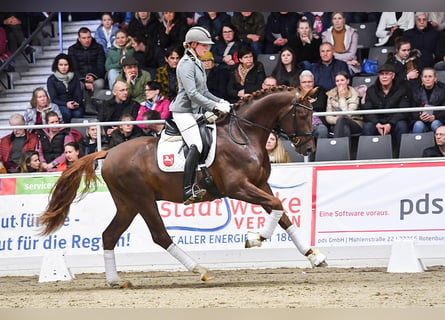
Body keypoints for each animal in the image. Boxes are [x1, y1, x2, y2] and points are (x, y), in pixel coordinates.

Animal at [40, 85, 324, 288]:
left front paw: (313, 255)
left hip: (127, 204)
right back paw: (201, 270)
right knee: (160, 235)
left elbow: (282, 213)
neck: (244, 134)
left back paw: (115, 281)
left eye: (313, 112)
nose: (309, 147)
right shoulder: (238, 187)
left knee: (110, 235)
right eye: (302, 113)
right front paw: (255, 238)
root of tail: (109, 153)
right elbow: (276, 206)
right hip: (142, 200)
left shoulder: (260, 184)